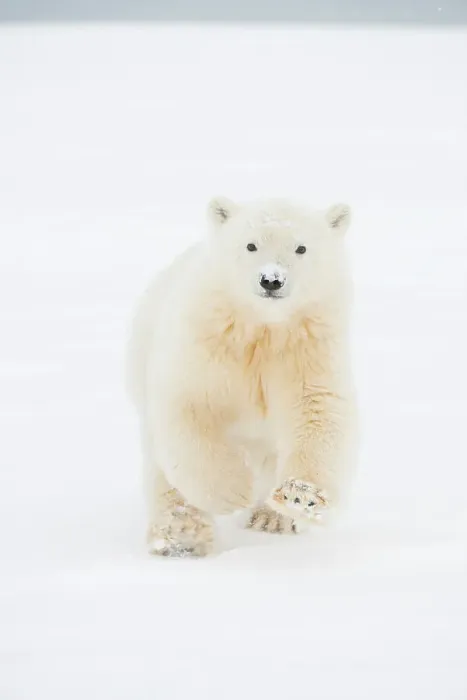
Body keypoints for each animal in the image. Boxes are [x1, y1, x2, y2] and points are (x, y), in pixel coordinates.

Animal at [127, 196, 357, 557]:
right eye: (251, 245)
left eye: (301, 247)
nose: (271, 279)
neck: (262, 327)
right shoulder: (207, 344)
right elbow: (189, 407)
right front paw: (233, 491)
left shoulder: (306, 348)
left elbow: (317, 409)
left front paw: (300, 495)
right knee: (163, 470)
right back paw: (181, 538)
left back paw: (270, 519)